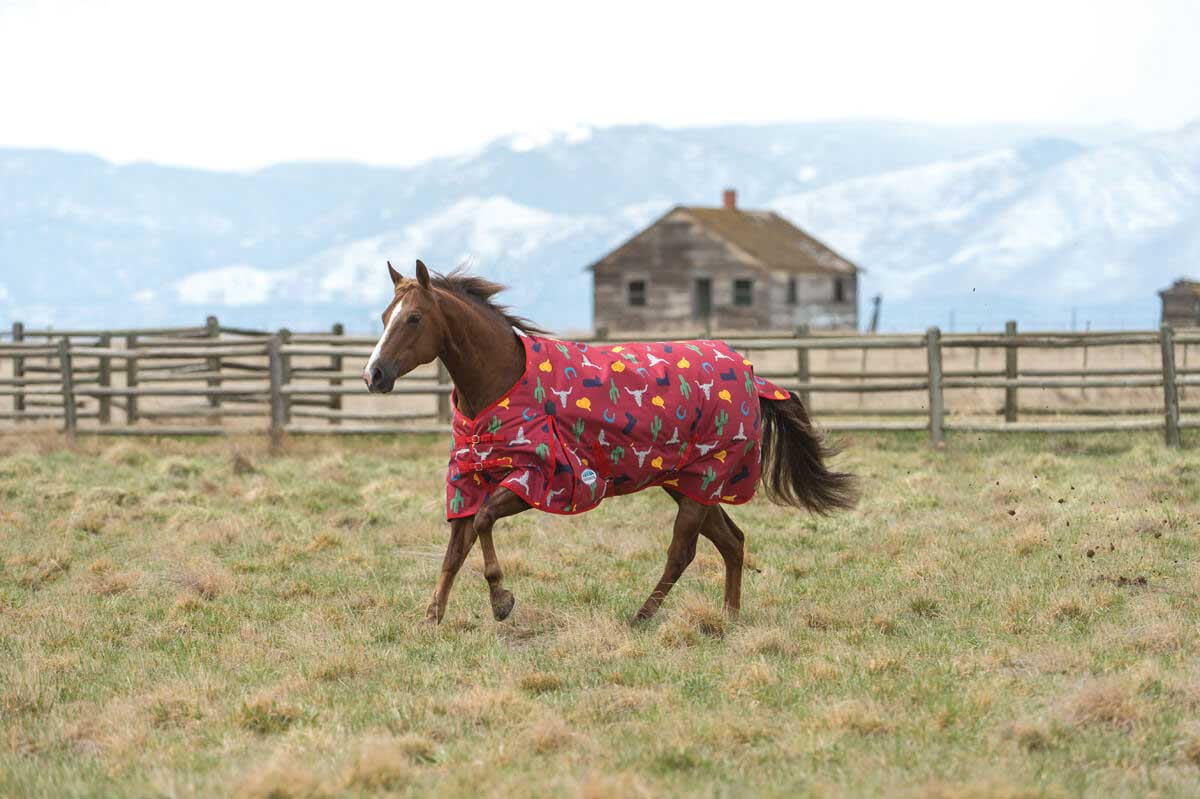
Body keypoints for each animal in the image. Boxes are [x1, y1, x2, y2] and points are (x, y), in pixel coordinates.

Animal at [363, 260, 857, 624]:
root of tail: (751, 374)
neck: (502, 383)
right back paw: (729, 618)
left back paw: (642, 616)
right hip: (691, 484)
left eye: (414, 318)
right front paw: (431, 618)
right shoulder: (470, 478)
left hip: (703, 481)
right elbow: (455, 549)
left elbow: (483, 522)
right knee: (732, 542)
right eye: (385, 317)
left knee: (682, 552)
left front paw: (501, 601)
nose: (374, 375)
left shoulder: (541, 479)